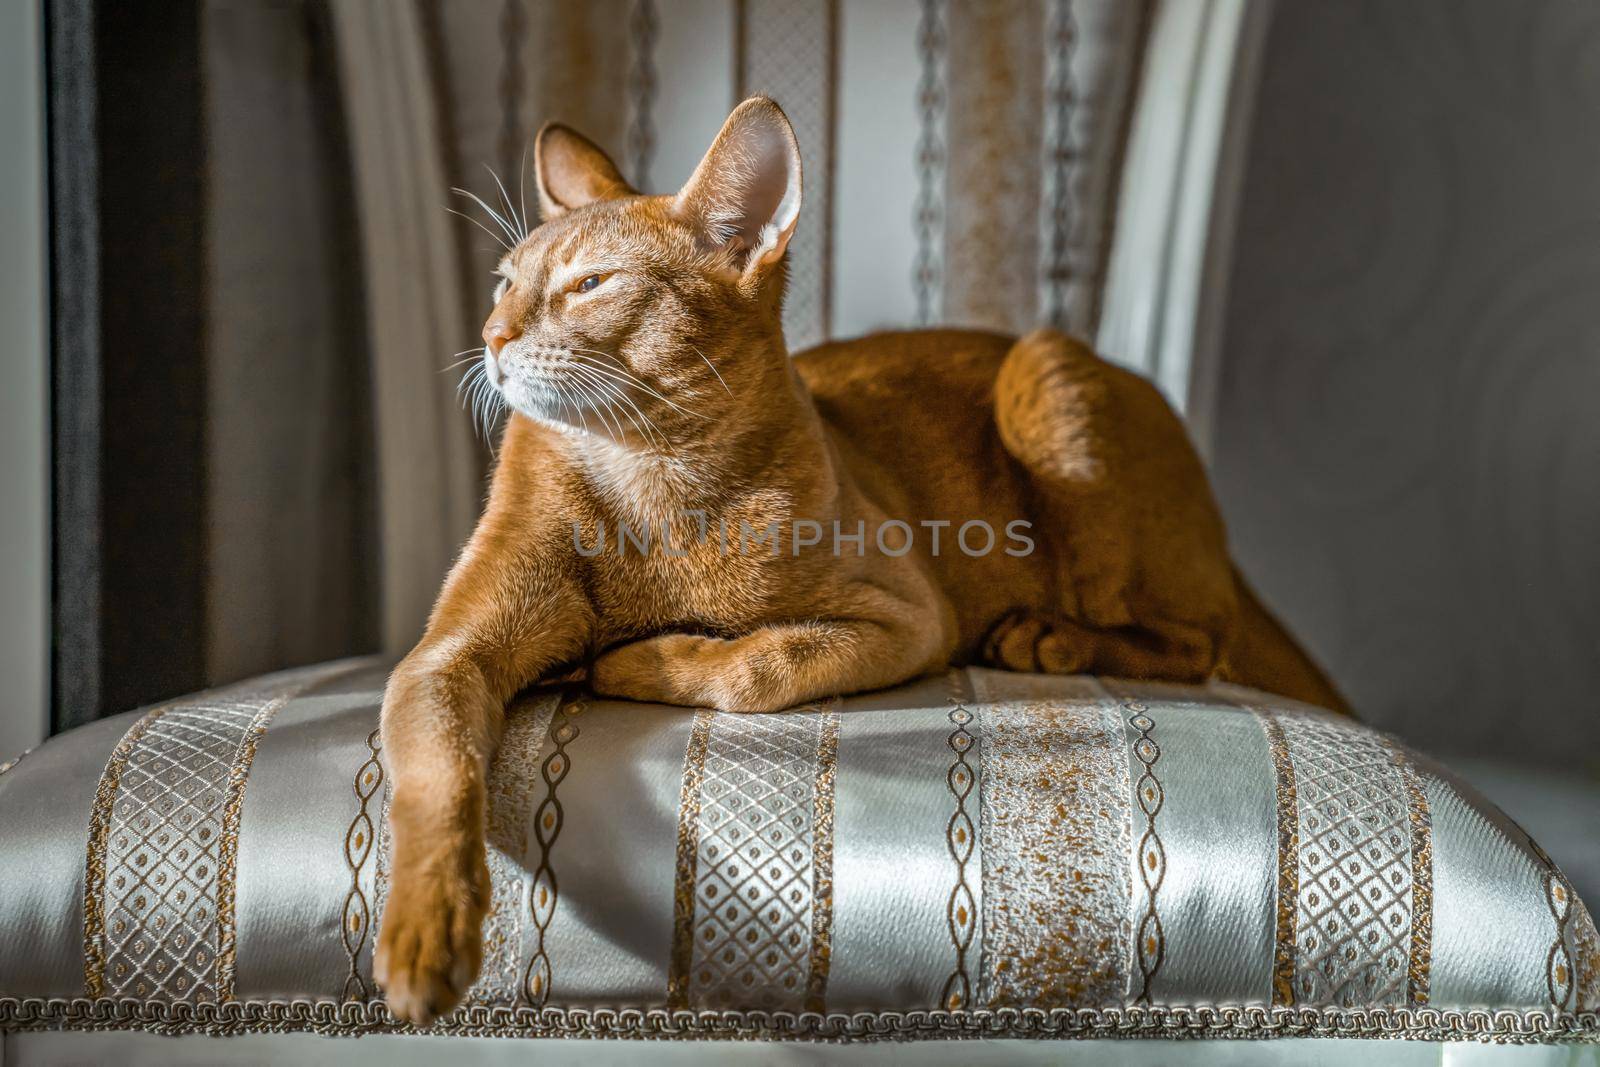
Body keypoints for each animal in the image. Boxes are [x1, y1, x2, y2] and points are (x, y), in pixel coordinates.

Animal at [371, 99, 1337, 1023]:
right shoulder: (446, 657)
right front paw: (425, 933)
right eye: (505, 281)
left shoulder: (911, 616)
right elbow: (436, 773)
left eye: (590, 284)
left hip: (1045, 372)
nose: (491, 335)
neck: (650, 480)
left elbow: (757, 664)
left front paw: (633, 658)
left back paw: (1047, 638)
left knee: (1193, 641)